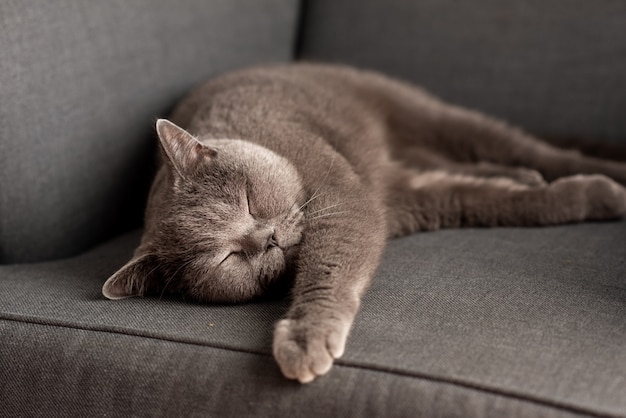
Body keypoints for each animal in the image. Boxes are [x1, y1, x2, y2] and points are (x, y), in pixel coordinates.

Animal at [102, 61, 624, 382]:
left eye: (248, 201)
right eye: (227, 258)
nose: (265, 238)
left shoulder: (344, 199)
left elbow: (329, 263)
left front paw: (306, 337)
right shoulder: (403, 200)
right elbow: (484, 199)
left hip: (428, 114)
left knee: (530, 148)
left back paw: (608, 177)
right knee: (468, 167)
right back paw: (526, 176)